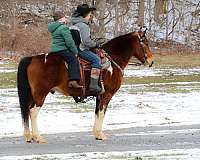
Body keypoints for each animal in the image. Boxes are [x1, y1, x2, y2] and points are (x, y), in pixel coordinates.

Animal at [17, 28, 155, 144]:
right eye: (145, 43)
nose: (151, 61)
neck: (112, 61)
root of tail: (32, 58)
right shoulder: (107, 95)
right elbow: (102, 112)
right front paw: (100, 134)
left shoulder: (99, 96)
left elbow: (97, 112)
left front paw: (96, 133)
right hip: (40, 94)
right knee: (33, 112)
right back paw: (37, 137)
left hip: (33, 95)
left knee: (27, 111)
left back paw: (28, 136)